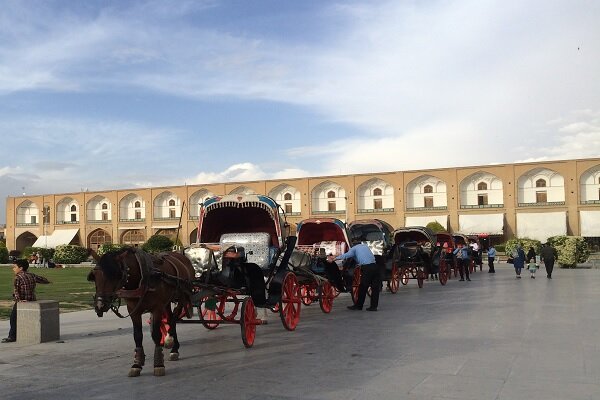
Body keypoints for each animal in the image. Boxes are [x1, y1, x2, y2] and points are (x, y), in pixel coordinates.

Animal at [88, 248, 195, 376]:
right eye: (94, 276)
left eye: (117, 275)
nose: (100, 305)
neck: (143, 278)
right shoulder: (133, 310)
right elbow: (137, 335)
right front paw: (137, 364)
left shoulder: (157, 308)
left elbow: (156, 334)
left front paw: (159, 364)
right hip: (168, 300)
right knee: (170, 317)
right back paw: (172, 344)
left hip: (182, 295)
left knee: (174, 317)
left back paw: (172, 345)